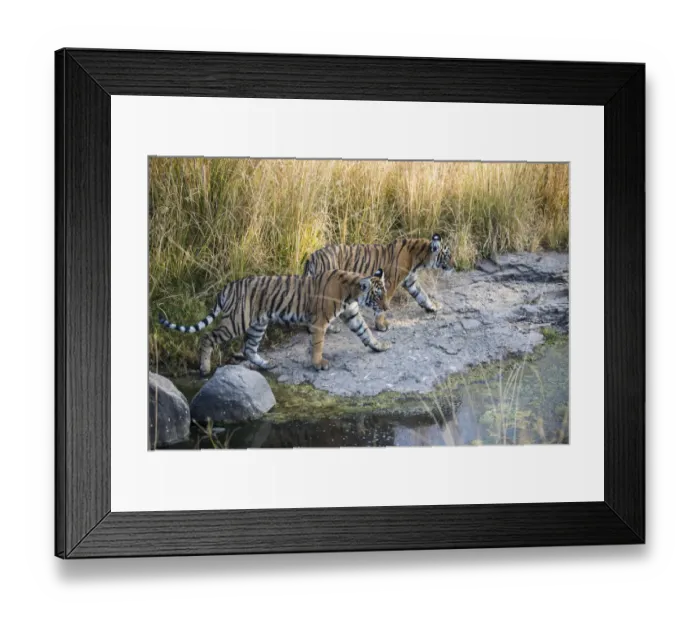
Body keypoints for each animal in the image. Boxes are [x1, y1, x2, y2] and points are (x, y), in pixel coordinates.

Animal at [158, 268, 391, 377]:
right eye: (378, 296)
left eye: (385, 293)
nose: (387, 308)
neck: (352, 293)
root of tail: (228, 287)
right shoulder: (319, 322)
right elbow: (318, 344)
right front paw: (318, 364)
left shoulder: (352, 315)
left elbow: (366, 332)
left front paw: (380, 346)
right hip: (235, 321)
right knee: (207, 337)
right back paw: (205, 368)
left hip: (257, 324)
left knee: (249, 348)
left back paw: (266, 364)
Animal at [302, 233, 455, 333]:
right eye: (448, 255)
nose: (456, 265)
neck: (419, 258)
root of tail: (311, 257)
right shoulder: (390, 282)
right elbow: (382, 305)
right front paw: (381, 326)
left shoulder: (410, 281)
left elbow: (423, 295)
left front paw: (433, 307)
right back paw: (329, 328)